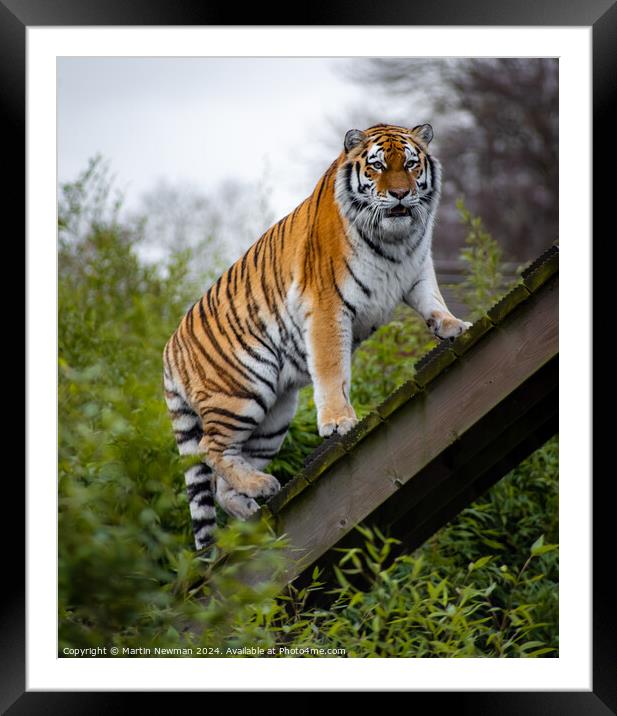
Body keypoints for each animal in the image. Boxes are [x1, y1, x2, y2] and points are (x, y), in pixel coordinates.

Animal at [162, 123, 472, 548]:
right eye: (377, 166)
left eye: (410, 164)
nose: (399, 194)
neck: (395, 241)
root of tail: (168, 349)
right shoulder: (326, 304)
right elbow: (331, 369)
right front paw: (339, 422)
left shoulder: (417, 269)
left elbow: (434, 301)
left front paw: (455, 325)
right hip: (242, 392)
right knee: (211, 447)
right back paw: (258, 488)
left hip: (273, 420)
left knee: (224, 483)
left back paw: (257, 500)